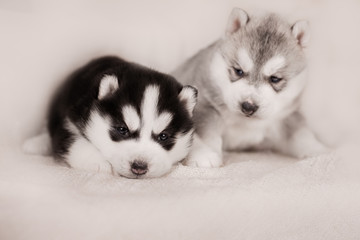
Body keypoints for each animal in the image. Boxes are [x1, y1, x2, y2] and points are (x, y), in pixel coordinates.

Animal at [23, 56, 197, 178]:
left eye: (163, 136)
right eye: (122, 130)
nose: (139, 167)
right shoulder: (68, 121)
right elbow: (74, 143)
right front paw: (99, 162)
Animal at [173, 8, 328, 168]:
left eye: (275, 79)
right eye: (238, 71)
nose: (248, 106)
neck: (246, 123)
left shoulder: (287, 116)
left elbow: (301, 132)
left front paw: (317, 149)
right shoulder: (205, 106)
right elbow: (198, 133)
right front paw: (203, 153)